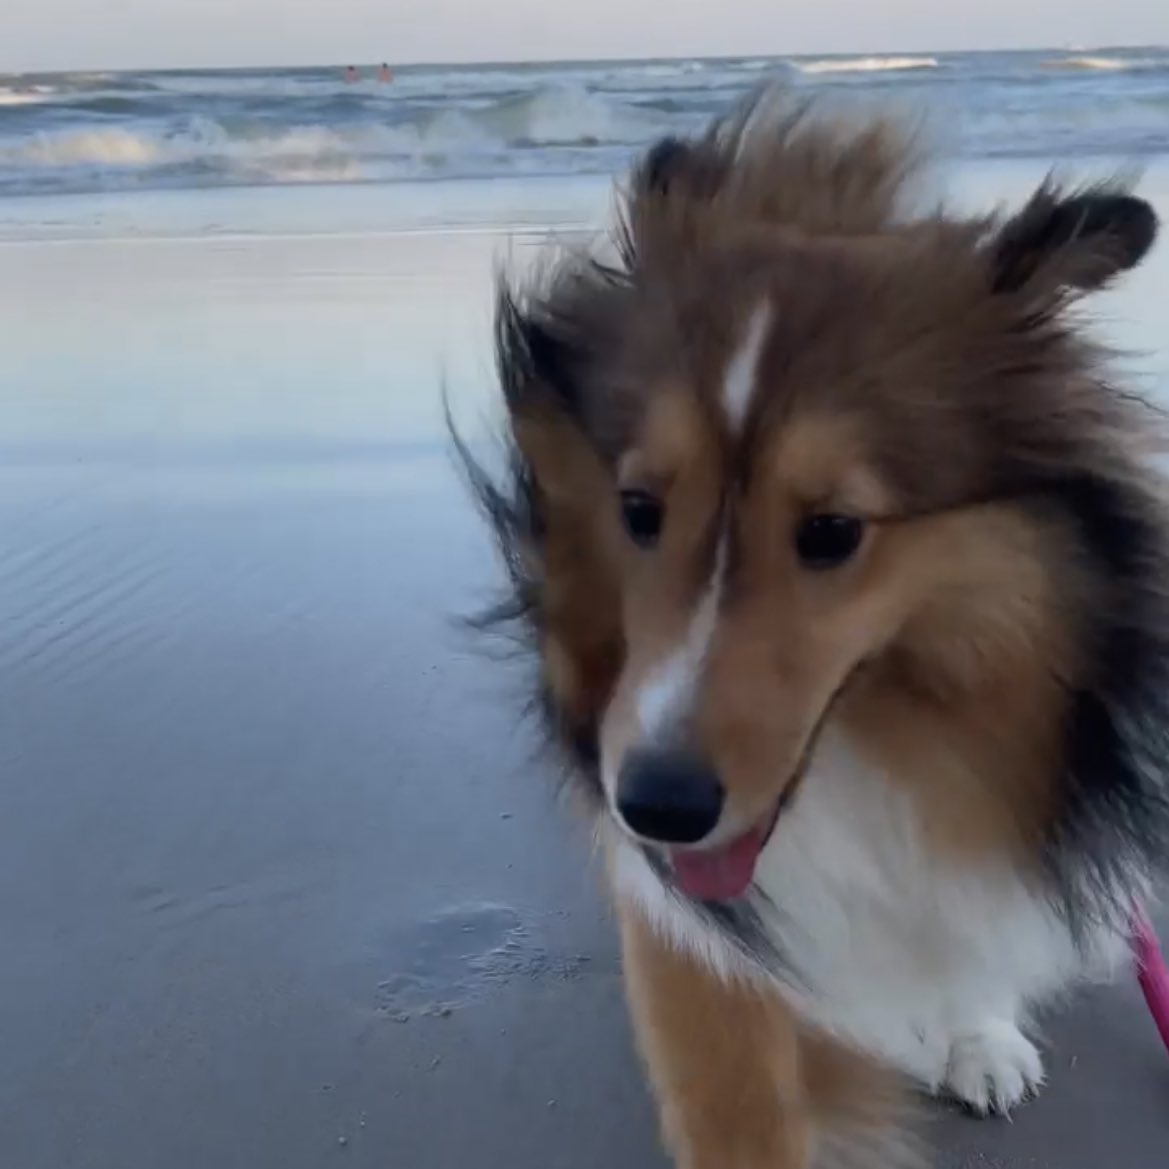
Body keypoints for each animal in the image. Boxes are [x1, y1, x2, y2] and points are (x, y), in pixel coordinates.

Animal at [453, 89, 1167, 1167]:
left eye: (831, 530)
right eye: (637, 508)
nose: (654, 805)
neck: (882, 750)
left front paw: (974, 1025)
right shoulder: (698, 929)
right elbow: (736, 1093)